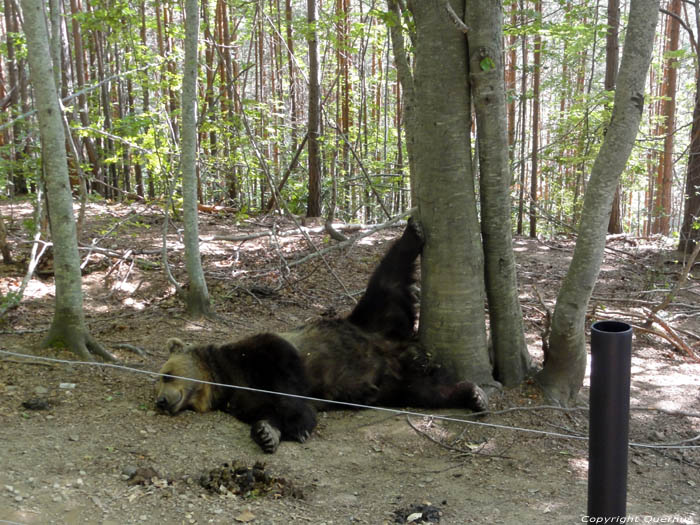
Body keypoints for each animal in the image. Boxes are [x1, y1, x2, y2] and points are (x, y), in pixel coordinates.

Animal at [157, 219, 490, 452]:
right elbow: (265, 412)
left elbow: (285, 379)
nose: (160, 401)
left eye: (166, 374)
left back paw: (413, 231)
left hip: (375, 318)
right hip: (397, 385)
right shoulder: (243, 399)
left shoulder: (261, 352)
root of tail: (399, 346)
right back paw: (472, 394)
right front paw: (267, 433)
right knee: (427, 392)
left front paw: (300, 425)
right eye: (159, 381)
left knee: (388, 280)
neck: (221, 380)